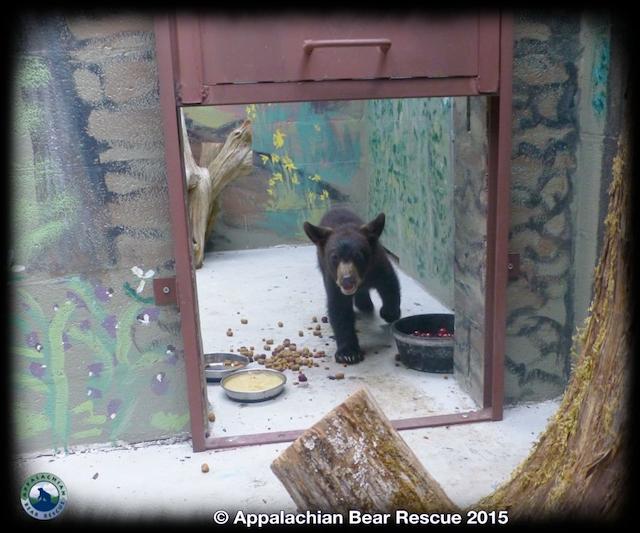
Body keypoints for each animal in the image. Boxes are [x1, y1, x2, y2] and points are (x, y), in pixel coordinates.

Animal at [303, 207, 401, 364]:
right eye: (334, 257)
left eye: (358, 256)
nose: (347, 280)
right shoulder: (332, 279)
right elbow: (339, 309)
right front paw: (348, 353)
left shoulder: (377, 263)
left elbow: (389, 284)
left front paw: (389, 313)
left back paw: (365, 304)